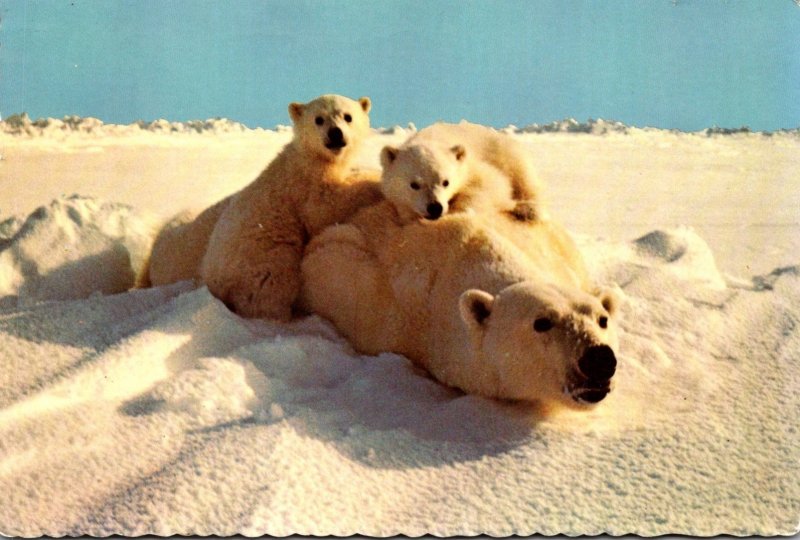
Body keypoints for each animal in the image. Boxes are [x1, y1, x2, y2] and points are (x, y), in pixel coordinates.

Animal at [146, 95, 384, 320]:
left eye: (347, 116)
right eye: (319, 119)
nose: (335, 133)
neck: (312, 157)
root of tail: (212, 280)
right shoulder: (303, 183)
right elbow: (324, 207)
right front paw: (375, 181)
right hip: (263, 258)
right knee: (270, 288)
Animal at [380, 121, 544, 223]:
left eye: (446, 182)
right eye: (414, 184)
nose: (435, 208)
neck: (429, 140)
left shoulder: (470, 167)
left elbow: (493, 183)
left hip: (505, 152)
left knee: (523, 178)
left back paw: (530, 209)